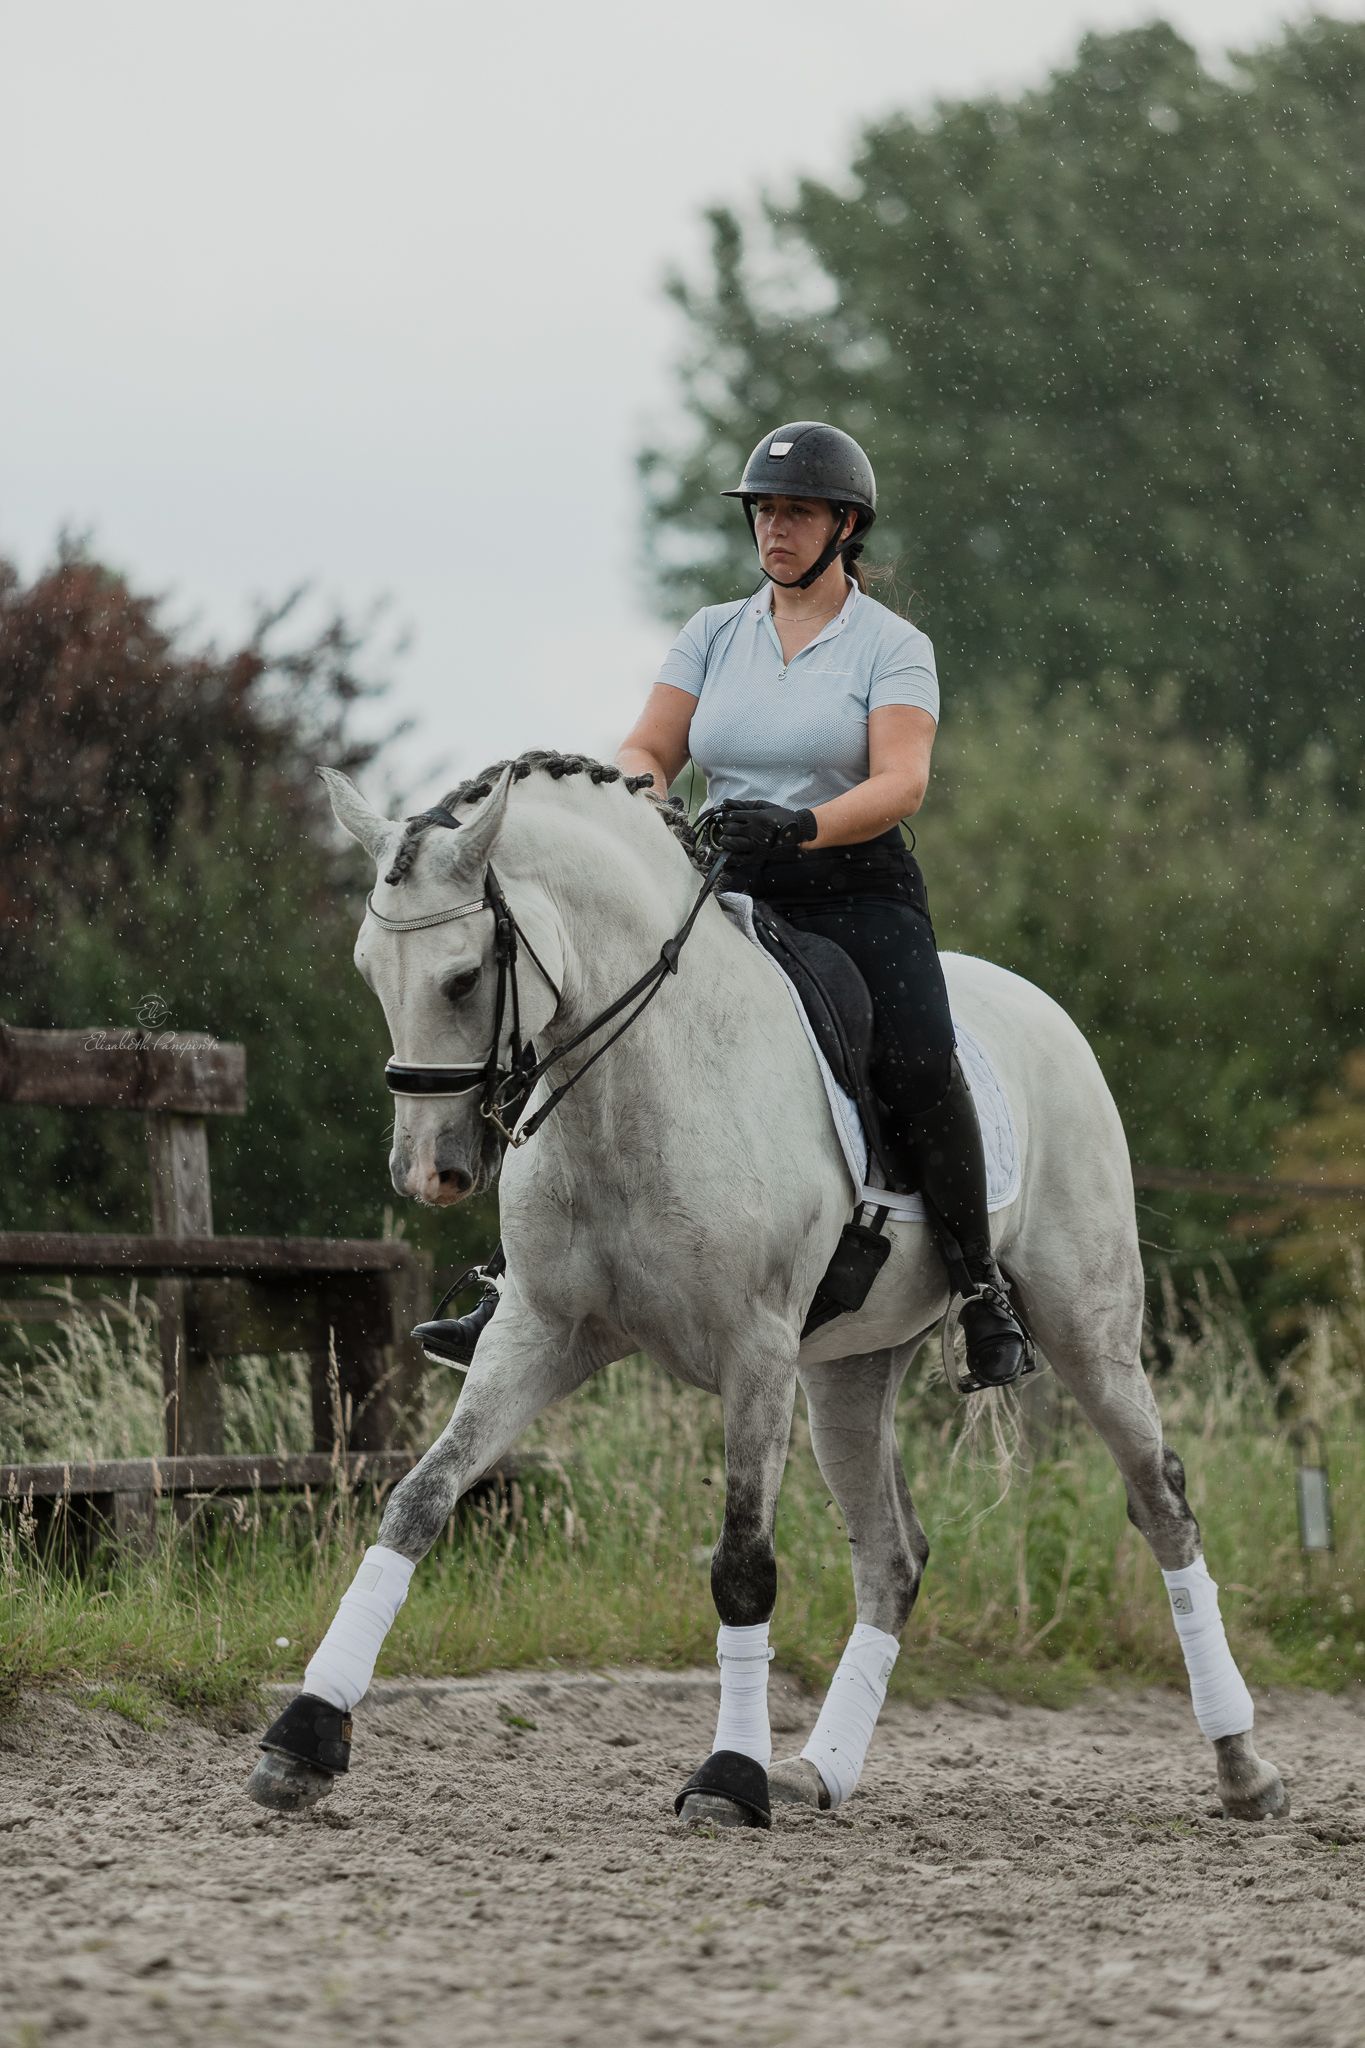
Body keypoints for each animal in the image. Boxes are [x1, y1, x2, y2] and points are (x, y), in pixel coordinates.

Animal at [246, 749, 1286, 1828]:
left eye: (460, 978)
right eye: (370, 970)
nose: (428, 1171)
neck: (634, 1086)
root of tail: (1038, 1007)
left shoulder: (753, 1351)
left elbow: (743, 1565)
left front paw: (727, 1777)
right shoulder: (538, 1332)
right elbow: (420, 1497)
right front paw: (304, 1736)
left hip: (1086, 1324)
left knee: (1161, 1502)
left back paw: (1242, 1765)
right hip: (847, 1373)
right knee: (892, 1556)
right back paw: (819, 1768)